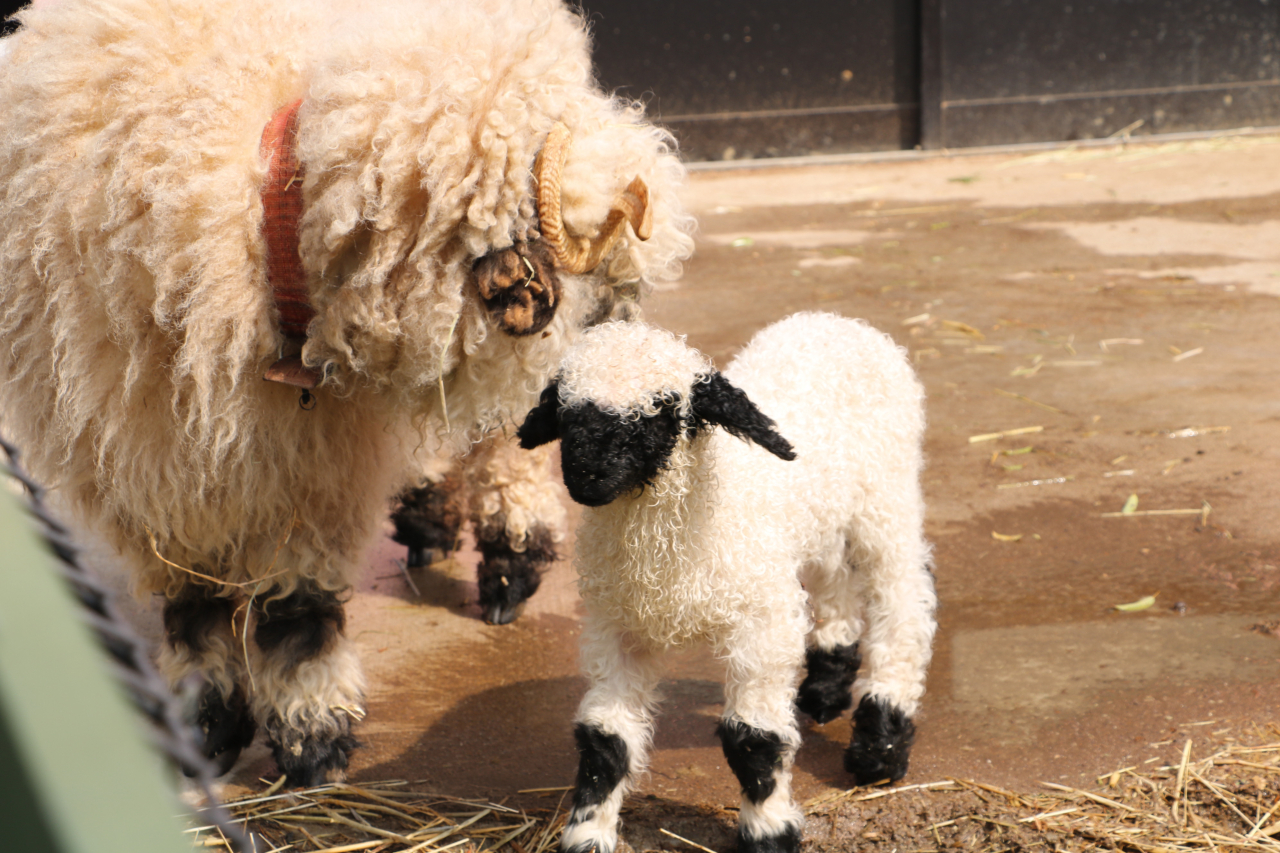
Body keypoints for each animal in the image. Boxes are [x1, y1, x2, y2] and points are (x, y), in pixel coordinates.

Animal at [0, 0, 693, 786]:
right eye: (594, 294)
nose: (629, 357)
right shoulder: (144, 459)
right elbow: (194, 601)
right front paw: (208, 720)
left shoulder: (308, 473)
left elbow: (297, 609)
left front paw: (313, 736)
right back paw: (430, 516)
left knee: (494, 445)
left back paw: (510, 555)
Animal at [517, 313, 937, 853]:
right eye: (566, 409)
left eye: (661, 410)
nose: (586, 474)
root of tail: (838, 322)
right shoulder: (617, 627)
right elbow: (604, 740)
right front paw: (588, 834)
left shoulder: (761, 625)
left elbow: (753, 739)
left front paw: (770, 832)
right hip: (821, 517)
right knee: (834, 578)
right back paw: (825, 688)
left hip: (886, 498)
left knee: (903, 600)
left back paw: (880, 745)